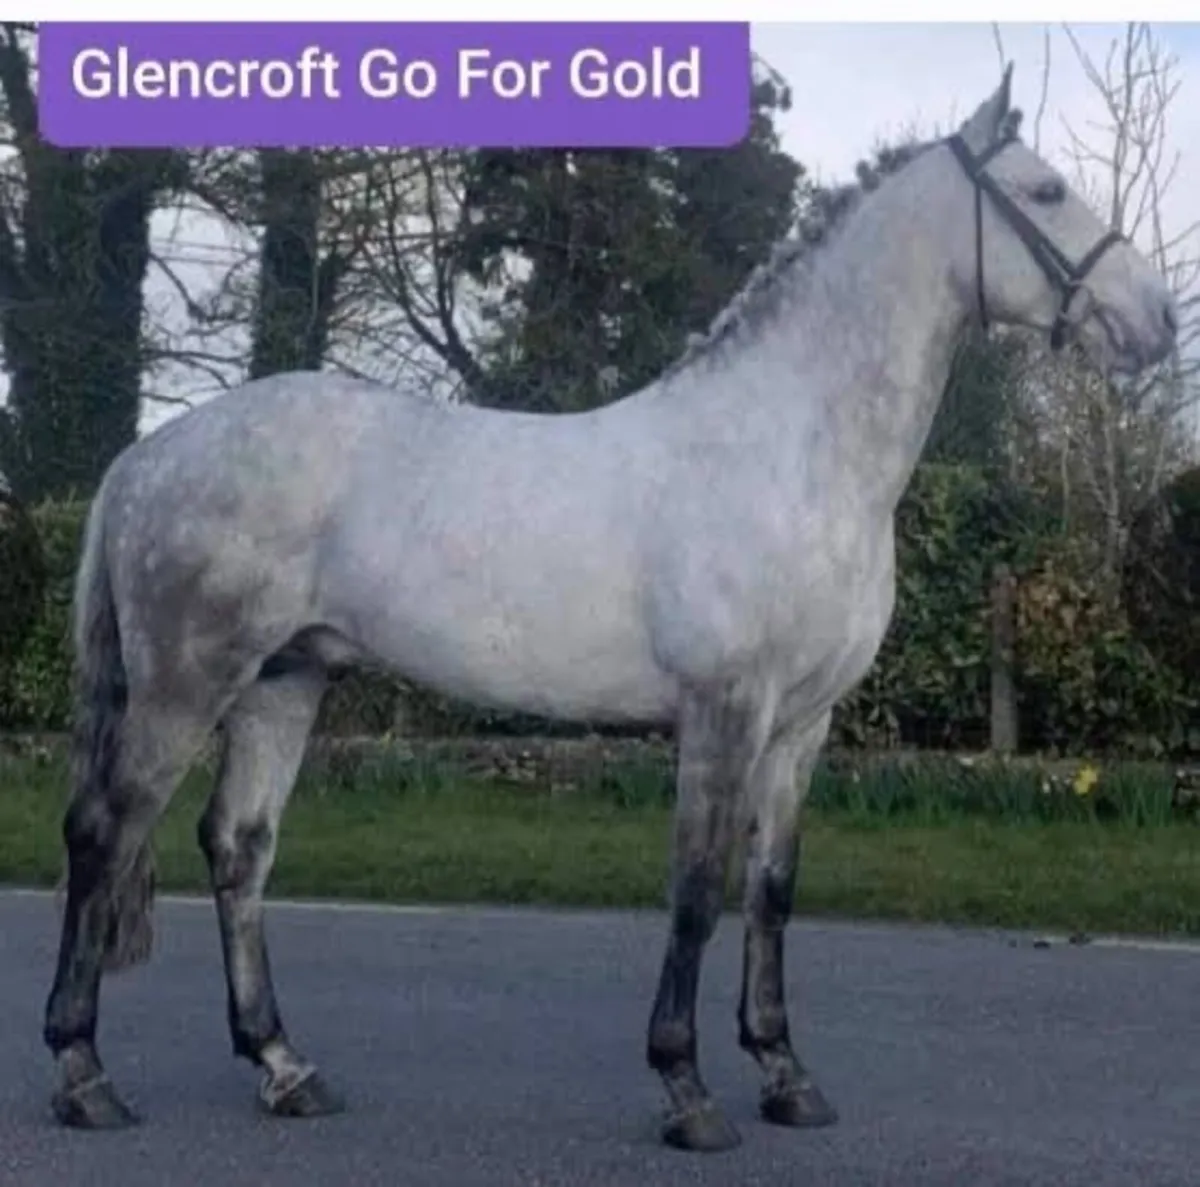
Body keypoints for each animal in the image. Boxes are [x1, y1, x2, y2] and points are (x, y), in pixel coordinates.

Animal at [43, 65, 1177, 1151]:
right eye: (1045, 191)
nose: (1157, 320)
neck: (793, 449)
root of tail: (145, 458)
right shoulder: (723, 712)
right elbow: (698, 887)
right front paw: (688, 1088)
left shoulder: (800, 726)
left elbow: (772, 887)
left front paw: (786, 1076)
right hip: (187, 683)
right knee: (103, 829)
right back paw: (83, 1074)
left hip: (286, 679)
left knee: (239, 846)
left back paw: (284, 1066)